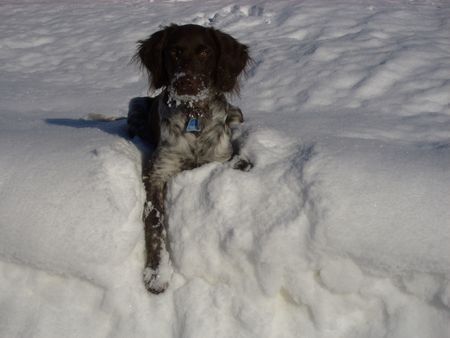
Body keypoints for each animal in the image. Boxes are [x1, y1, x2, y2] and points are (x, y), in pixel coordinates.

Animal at [128, 23, 251, 294]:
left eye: (205, 52)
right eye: (174, 52)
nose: (186, 82)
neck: (194, 114)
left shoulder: (220, 157)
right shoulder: (157, 172)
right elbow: (154, 222)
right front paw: (156, 273)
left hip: (236, 112)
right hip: (136, 105)